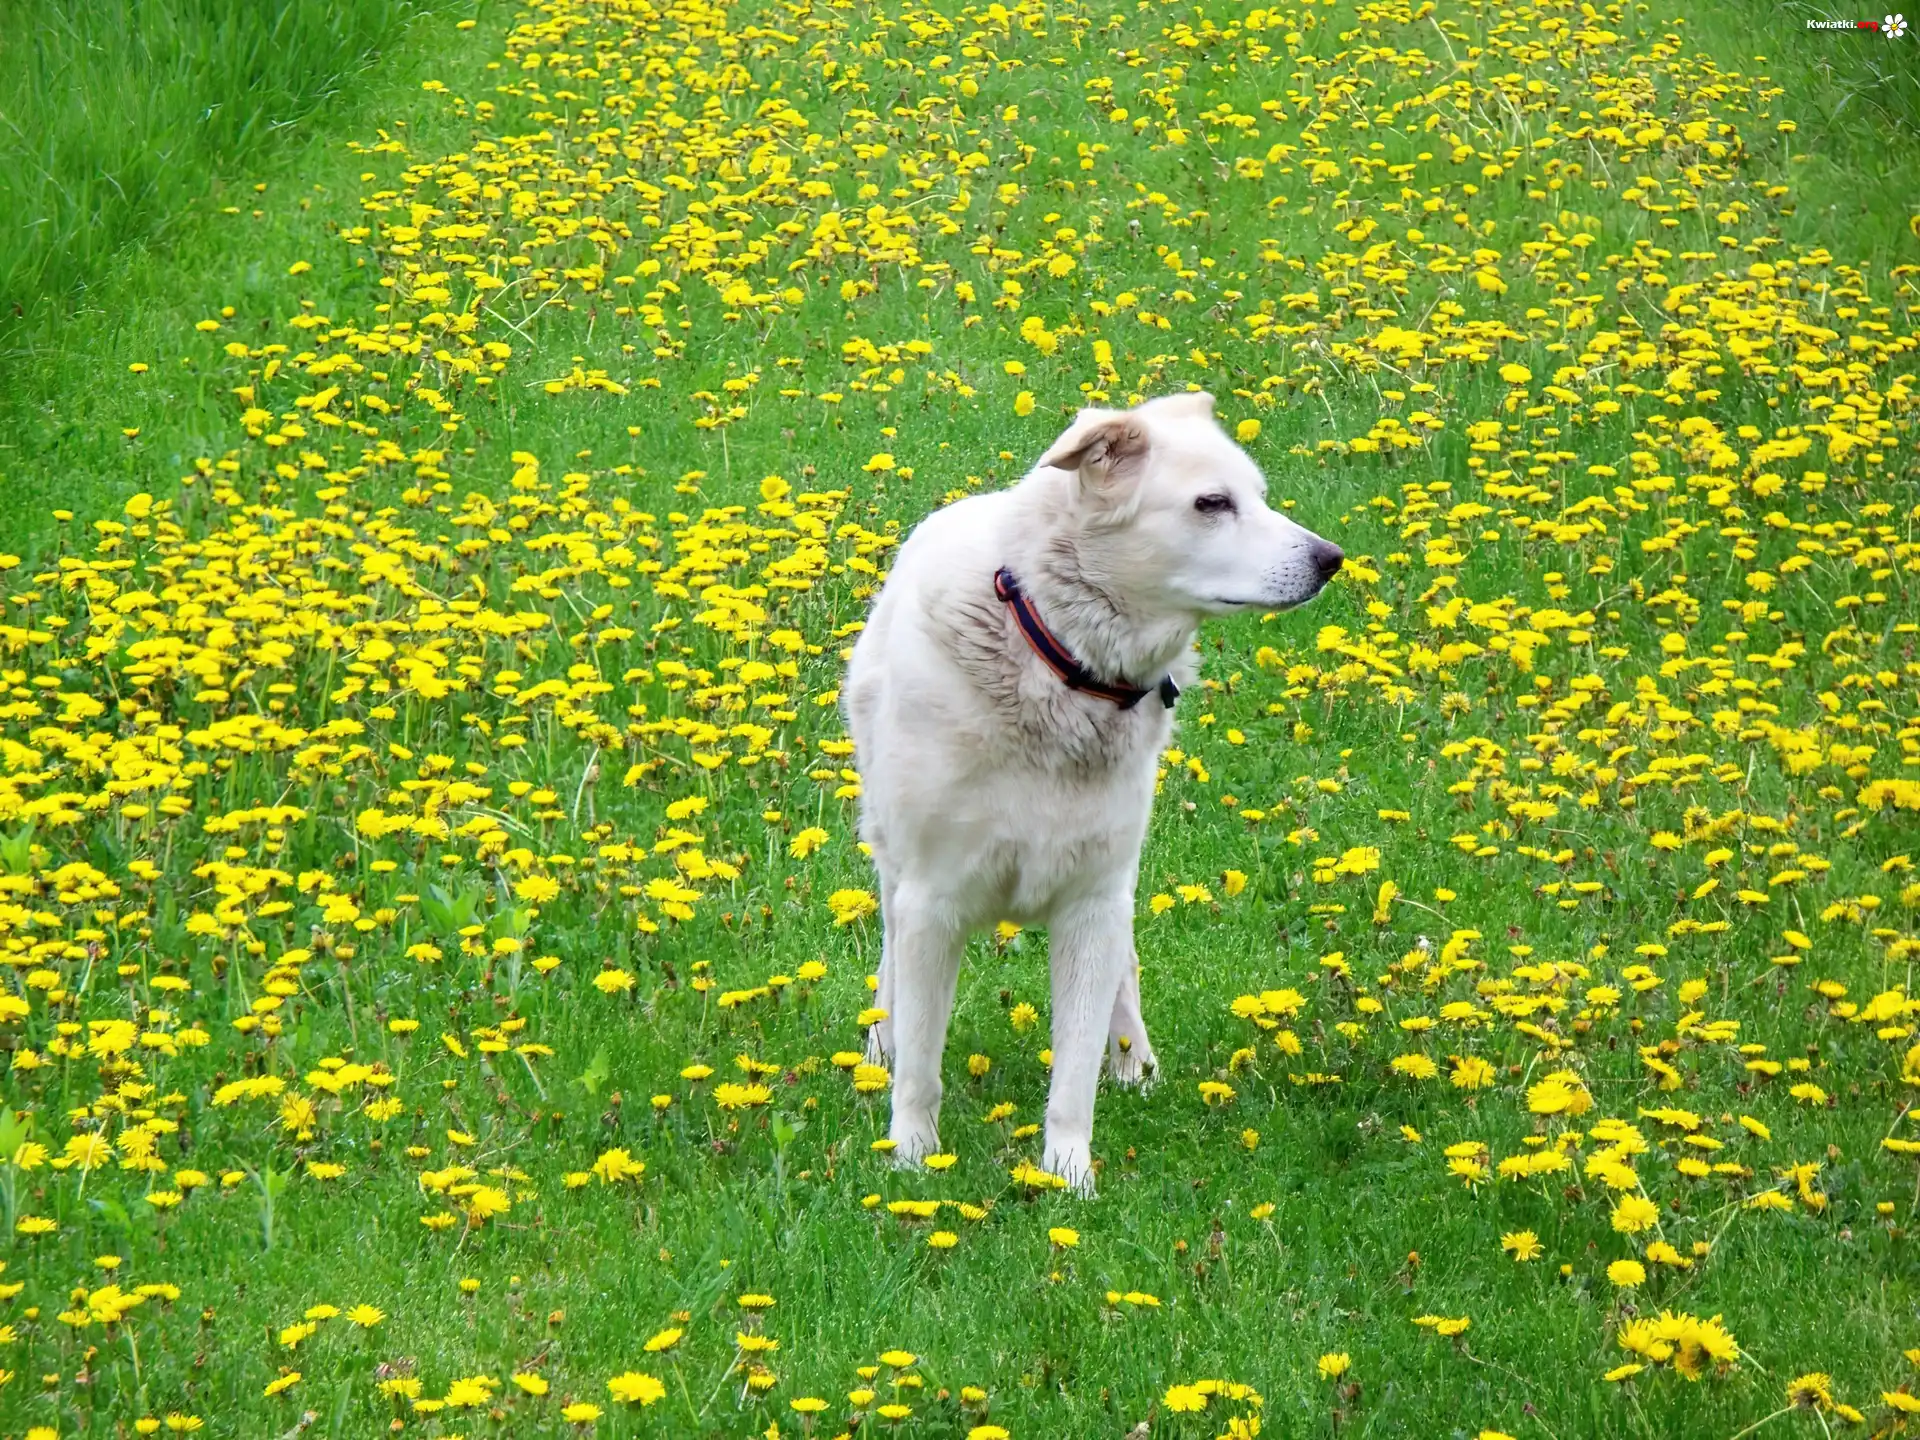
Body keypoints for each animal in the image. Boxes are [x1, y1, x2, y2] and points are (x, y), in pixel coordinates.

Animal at [842, 391, 1343, 1192]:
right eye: (1213, 503)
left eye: (1259, 496)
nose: (1330, 560)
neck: (1058, 662)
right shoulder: (931, 903)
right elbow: (922, 1063)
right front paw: (914, 1162)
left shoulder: (1091, 904)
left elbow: (1074, 1075)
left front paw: (1068, 1179)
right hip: (894, 864)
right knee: (891, 964)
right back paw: (878, 1051)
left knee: (1124, 975)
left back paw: (1135, 1062)